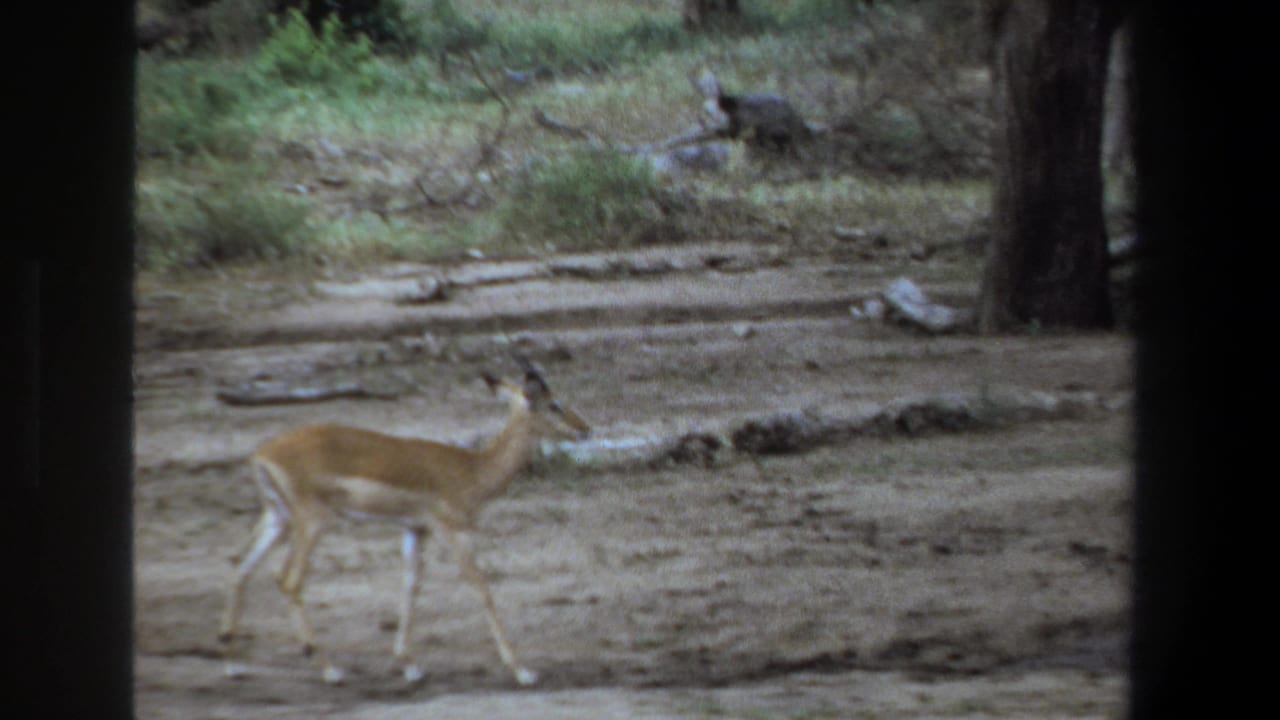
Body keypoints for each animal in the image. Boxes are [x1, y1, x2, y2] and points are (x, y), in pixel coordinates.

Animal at [217, 358, 591, 686]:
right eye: (553, 404)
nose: (584, 429)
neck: (473, 469)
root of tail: (262, 454)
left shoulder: (414, 529)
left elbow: (411, 585)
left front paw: (410, 666)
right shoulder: (452, 530)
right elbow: (481, 585)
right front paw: (523, 671)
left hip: (278, 518)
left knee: (241, 564)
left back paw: (235, 664)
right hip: (313, 522)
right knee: (288, 580)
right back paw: (329, 670)